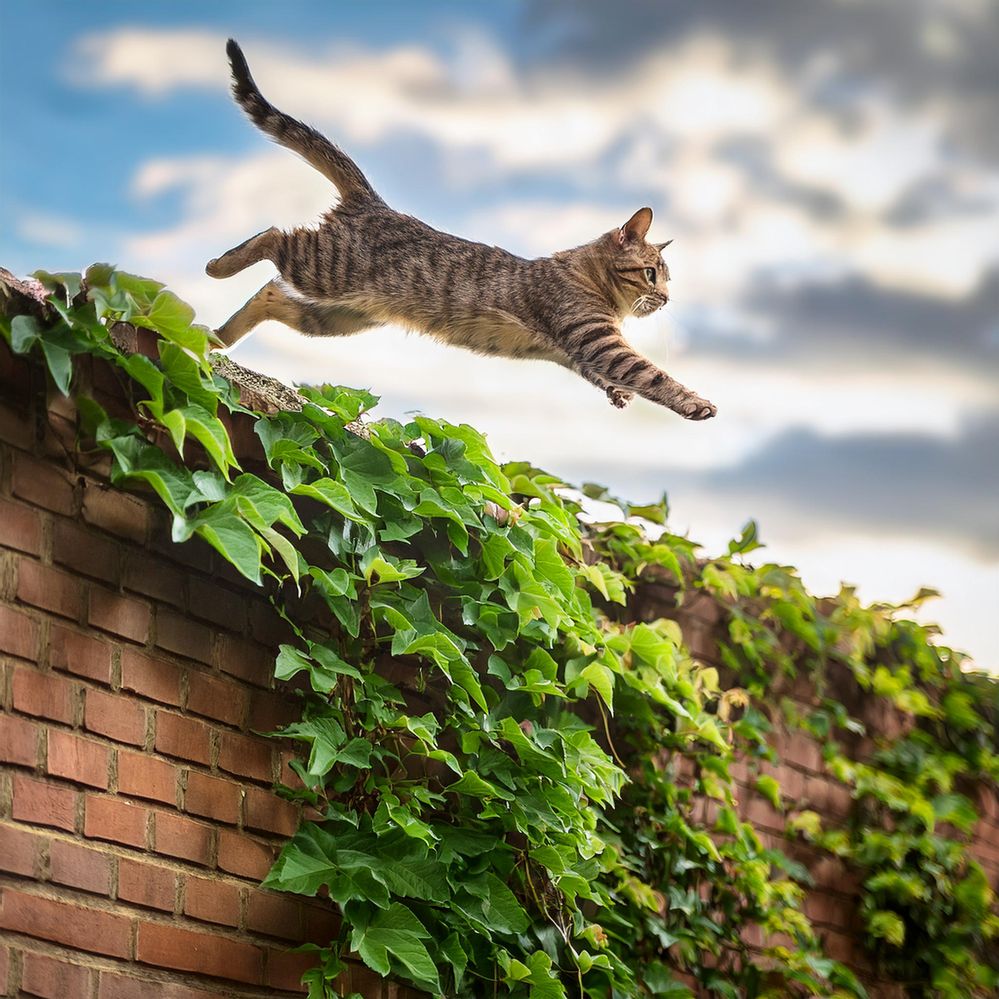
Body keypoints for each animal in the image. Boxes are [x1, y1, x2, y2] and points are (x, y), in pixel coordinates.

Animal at [207, 38, 716, 422]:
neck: (583, 276)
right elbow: (651, 374)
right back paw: (218, 268)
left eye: (666, 279)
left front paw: (618, 395)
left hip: (339, 316)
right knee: (273, 238)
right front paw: (695, 402)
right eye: (652, 274)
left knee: (270, 293)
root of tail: (374, 202)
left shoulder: (576, 351)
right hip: (326, 269)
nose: (666, 298)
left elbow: (607, 377)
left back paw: (219, 338)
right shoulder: (596, 340)